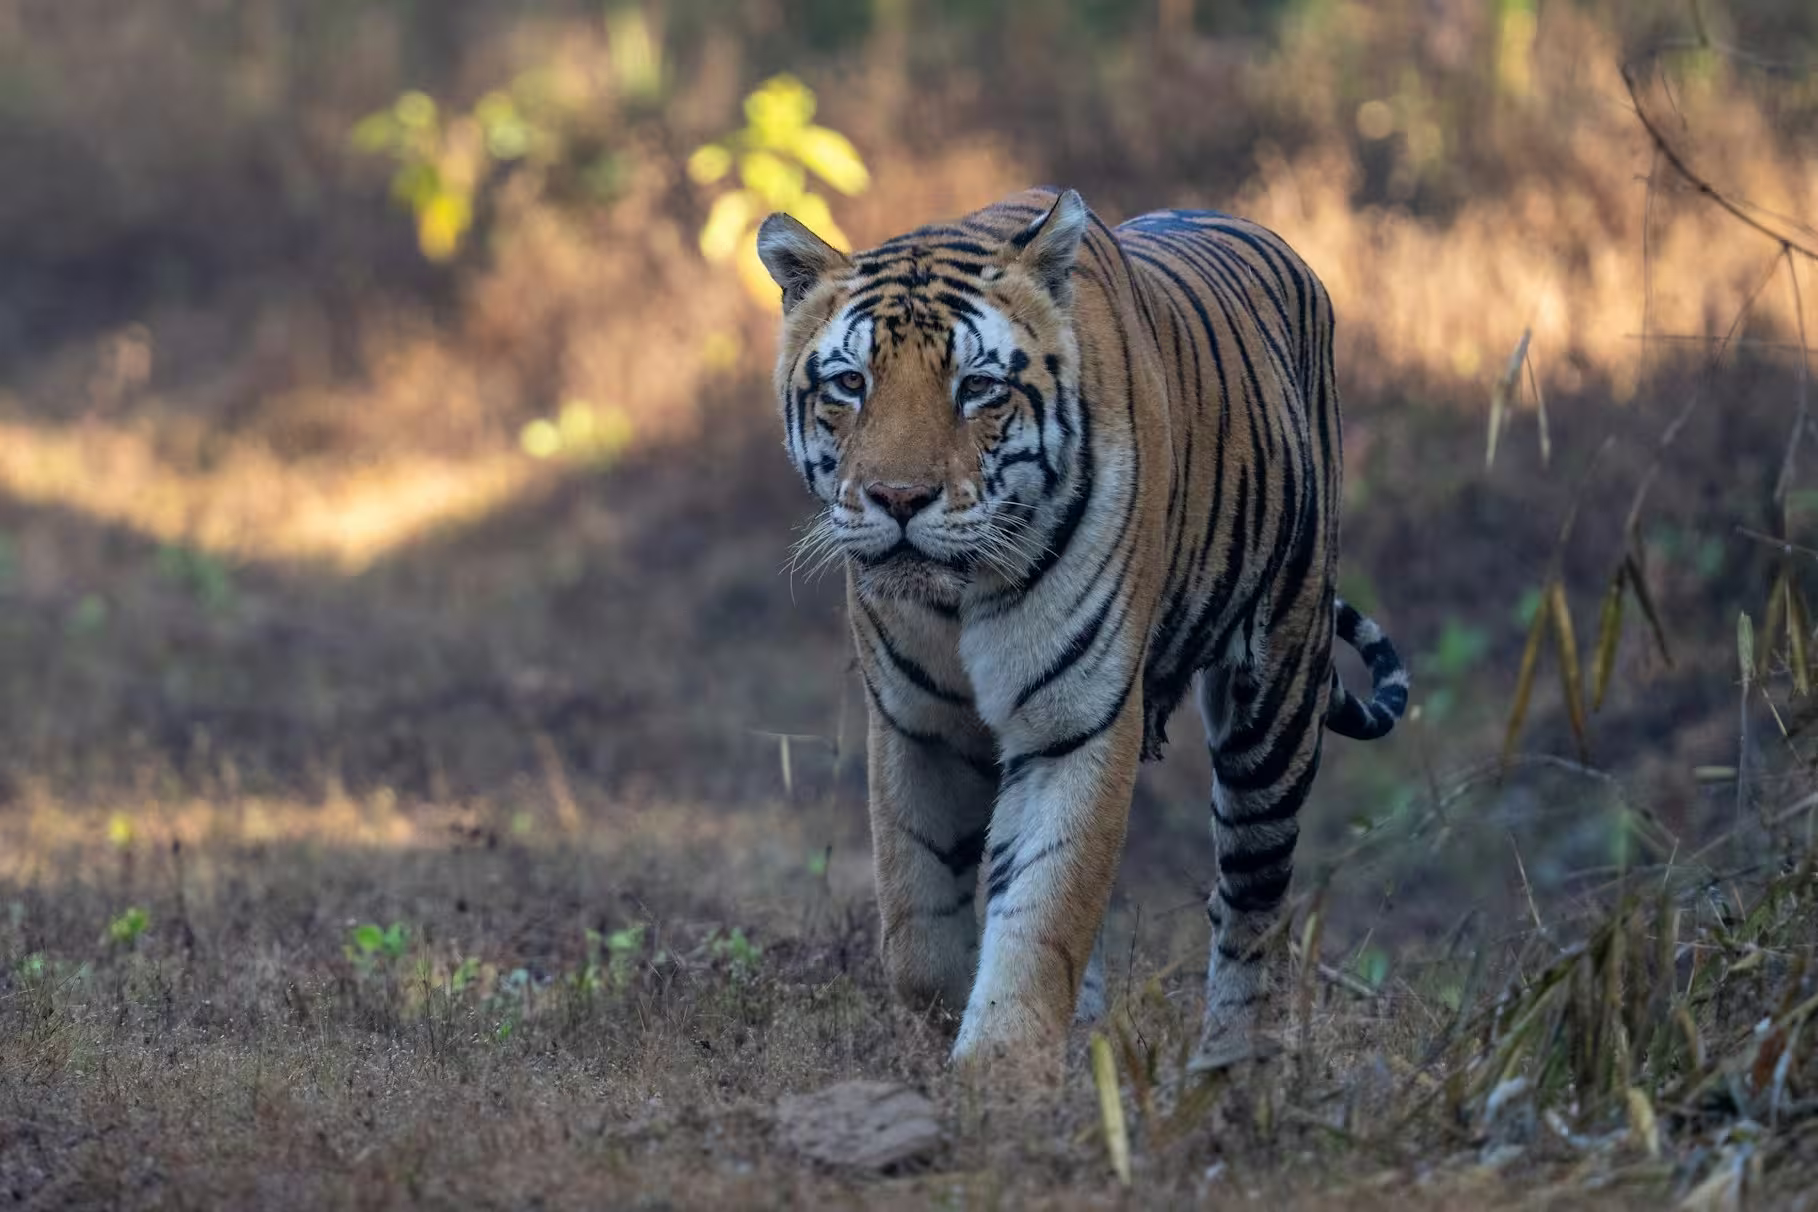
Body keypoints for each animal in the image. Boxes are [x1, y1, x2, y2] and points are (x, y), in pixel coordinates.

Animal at [756, 186, 1407, 1069]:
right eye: (850, 383)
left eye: (978, 388)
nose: (898, 499)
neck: (958, 597)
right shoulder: (915, 724)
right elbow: (918, 924)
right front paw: (943, 1044)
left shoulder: (1076, 723)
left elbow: (1043, 914)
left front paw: (999, 1073)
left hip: (1276, 703)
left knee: (1250, 907)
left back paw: (1229, 1071)